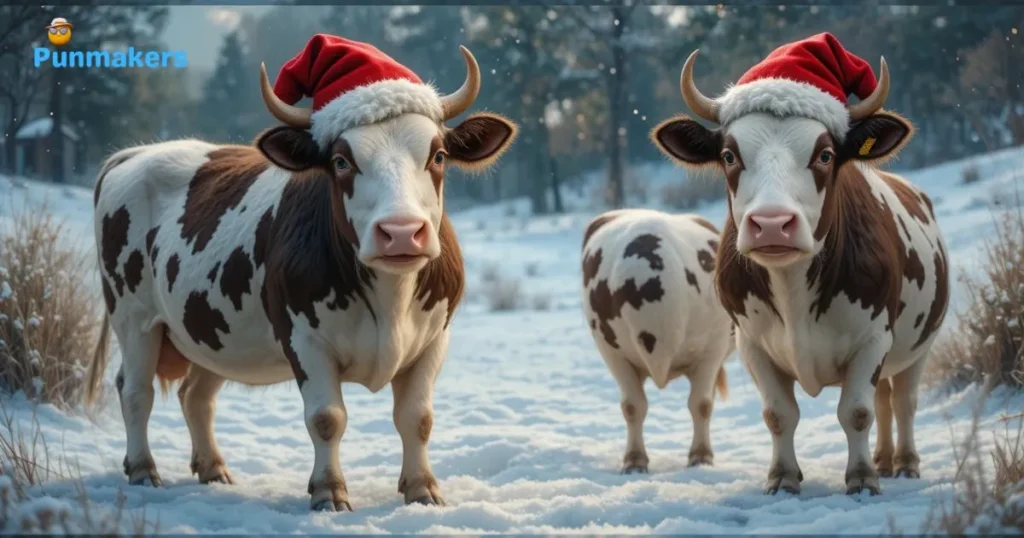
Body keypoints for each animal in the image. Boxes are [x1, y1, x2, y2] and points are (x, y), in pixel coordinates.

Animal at [84, 41, 518, 511]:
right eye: (342, 161)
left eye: (437, 156)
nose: (401, 231)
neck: (391, 299)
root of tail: (134, 154)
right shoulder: (304, 339)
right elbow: (327, 418)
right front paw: (329, 492)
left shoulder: (435, 338)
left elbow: (417, 418)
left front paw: (422, 489)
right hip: (134, 316)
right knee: (135, 391)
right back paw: (144, 469)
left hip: (209, 329)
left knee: (196, 396)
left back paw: (213, 468)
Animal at [581, 209, 732, 473]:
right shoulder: (612, 353)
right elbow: (633, 406)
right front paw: (634, 460)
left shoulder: (714, 347)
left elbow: (701, 405)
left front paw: (701, 456)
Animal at [649, 36, 949, 496]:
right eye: (729, 155)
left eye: (824, 154)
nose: (772, 223)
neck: (794, 293)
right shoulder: (751, 343)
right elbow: (779, 414)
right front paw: (783, 477)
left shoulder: (873, 337)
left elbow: (856, 411)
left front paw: (862, 479)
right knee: (885, 400)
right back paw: (883, 459)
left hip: (919, 346)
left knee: (902, 401)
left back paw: (904, 463)